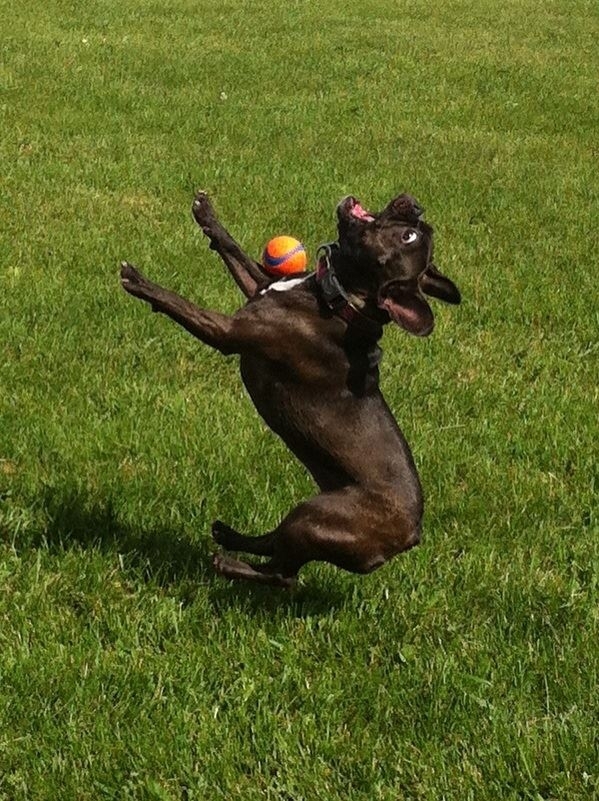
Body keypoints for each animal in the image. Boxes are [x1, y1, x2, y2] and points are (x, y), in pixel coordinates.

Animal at [119, 191, 462, 584]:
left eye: (409, 237)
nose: (417, 208)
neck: (339, 299)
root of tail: (412, 535)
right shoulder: (258, 288)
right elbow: (236, 252)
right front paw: (207, 216)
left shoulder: (227, 331)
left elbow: (182, 304)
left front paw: (139, 281)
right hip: (308, 516)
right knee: (275, 546)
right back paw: (230, 535)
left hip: (314, 518)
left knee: (282, 575)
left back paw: (229, 562)